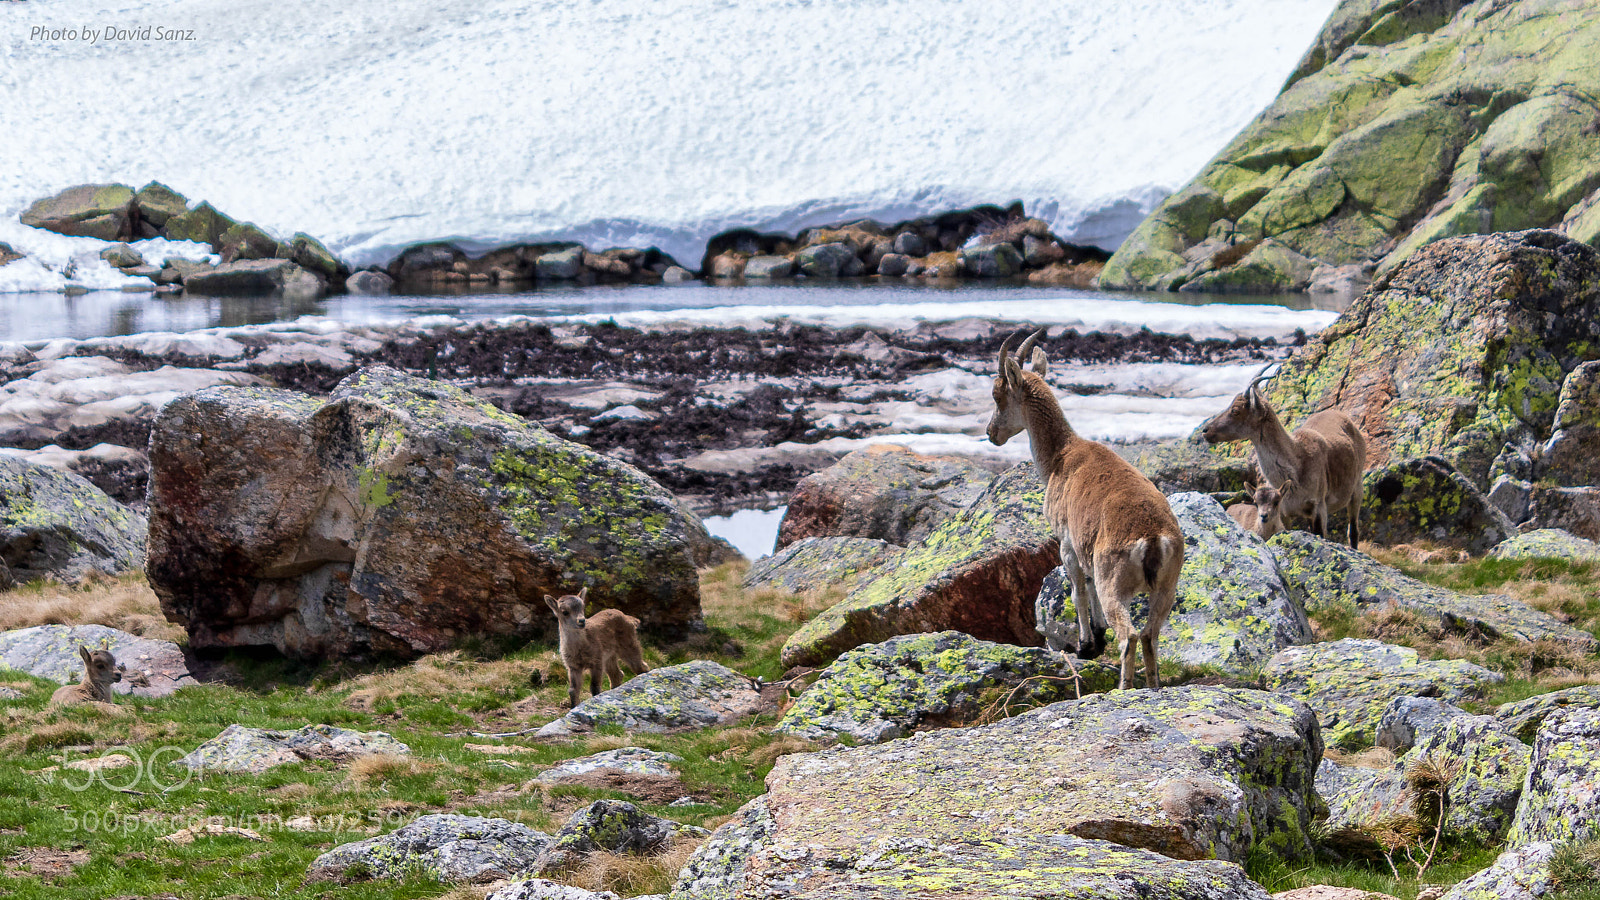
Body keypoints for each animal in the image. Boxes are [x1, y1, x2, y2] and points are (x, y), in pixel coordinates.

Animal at [987, 328, 1185, 690]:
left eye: (997, 395)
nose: (991, 433)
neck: (1060, 458)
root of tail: (1152, 539)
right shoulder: (1085, 545)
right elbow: (1087, 583)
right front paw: (1097, 632)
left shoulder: (1065, 543)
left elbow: (1078, 589)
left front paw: (1086, 644)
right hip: (1167, 586)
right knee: (1149, 634)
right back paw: (1152, 685)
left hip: (1115, 583)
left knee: (1130, 635)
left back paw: (1123, 687)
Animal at [1201, 366, 1367, 547]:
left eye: (1236, 410)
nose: (1205, 430)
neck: (1296, 465)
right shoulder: (1285, 511)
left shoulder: (1318, 506)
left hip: (1357, 488)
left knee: (1353, 530)